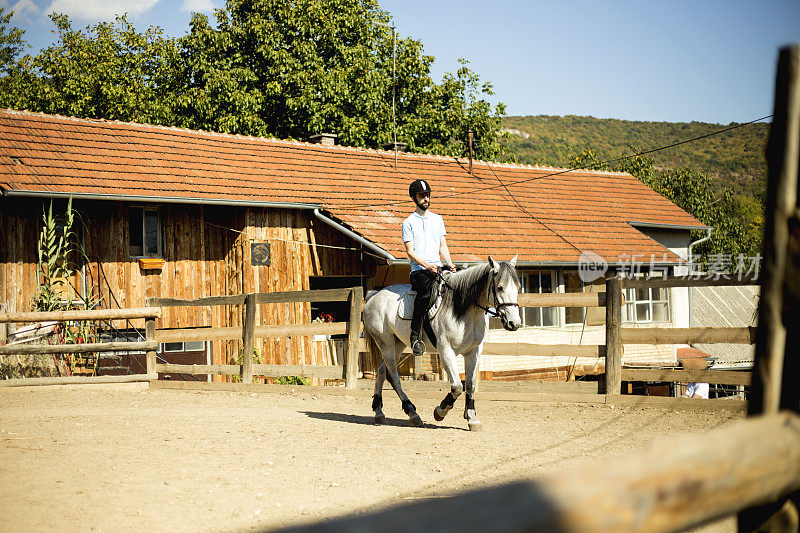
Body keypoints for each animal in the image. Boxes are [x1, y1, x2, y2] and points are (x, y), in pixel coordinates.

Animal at [360, 256, 520, 430]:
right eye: (500, 287)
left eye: (518, 287)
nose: (514, 323)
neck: (463, 309)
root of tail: (374, 295)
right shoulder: (446, 351)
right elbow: (457, 386)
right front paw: (440, 412)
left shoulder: (474, 351)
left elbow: (470, 384)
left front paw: (472, 418)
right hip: (386, 343)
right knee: (393, 376)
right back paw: (412, 413)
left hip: (398, 344)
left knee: (382, 370)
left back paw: (379, 413)